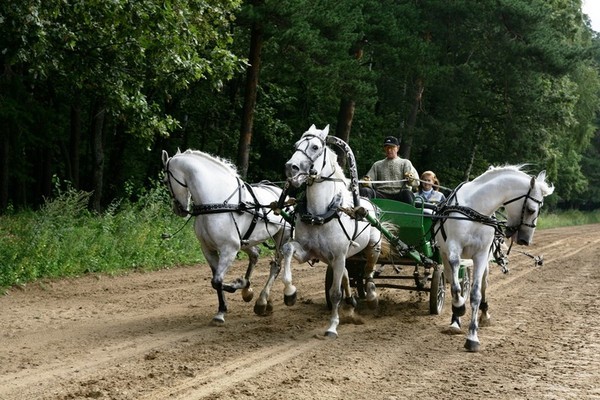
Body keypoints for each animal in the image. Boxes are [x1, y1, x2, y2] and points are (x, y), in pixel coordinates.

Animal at [159, 148, 290, 324]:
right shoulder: (208, 249)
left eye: (166, 180)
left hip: (281, 239)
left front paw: (238, 284)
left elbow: (217, 281)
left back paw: (262, 301)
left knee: (275, 267)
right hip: (247, 241)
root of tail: (284, 196)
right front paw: (223, 309)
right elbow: (216, 281)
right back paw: (256, 295)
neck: (217, 203)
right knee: (255, 254)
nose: (179, 209)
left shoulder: (230, 249)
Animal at [282, 125, 384, 338]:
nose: (290, 167)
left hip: (372, 247)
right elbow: (287, 249)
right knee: (346, 273)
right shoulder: (309, 251)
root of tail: (371, 205)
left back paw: (371, 296)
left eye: (315, 146)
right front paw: (290, 293)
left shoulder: (338, 255)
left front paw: (332, 327)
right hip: (336, 257)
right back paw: (352, 300)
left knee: (368, 271)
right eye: (296, 145)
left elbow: (335, 293)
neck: (320, 214)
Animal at [434, 164, 556, 352]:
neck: (476, 210)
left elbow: (476, 294)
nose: (525, 240)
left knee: (483, 285)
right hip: (445, 254)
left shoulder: (481, 255)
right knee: (453, 278)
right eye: (531, 210)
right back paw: (455, 321)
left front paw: (473, 337)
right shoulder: (453, 249)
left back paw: (484, 313)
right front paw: (459, 308)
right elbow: (456, 287)